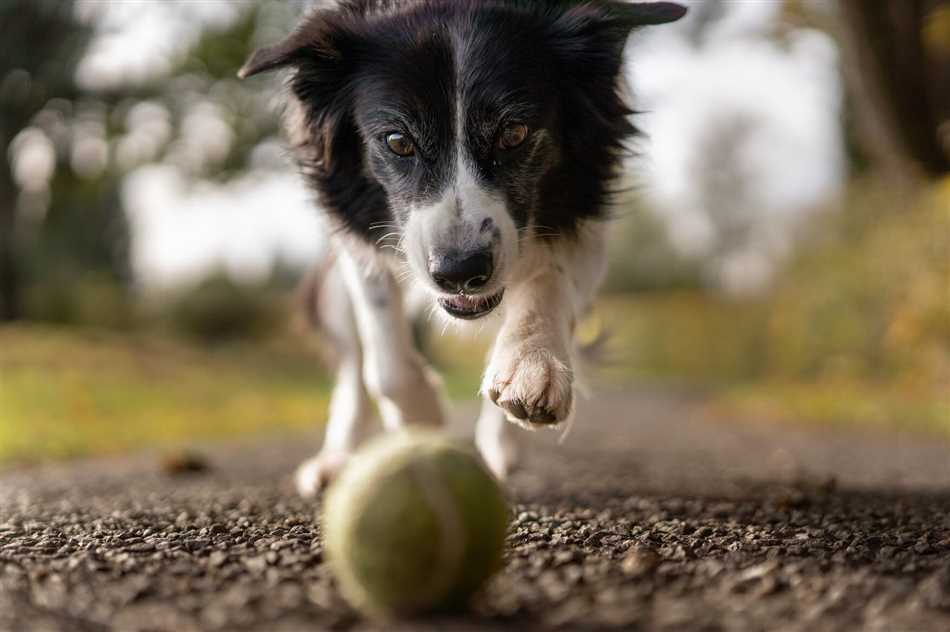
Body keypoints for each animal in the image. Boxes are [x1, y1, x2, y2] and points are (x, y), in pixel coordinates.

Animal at [237, 0, 684, 494]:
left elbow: (548, 281)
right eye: (398, 141)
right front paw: (423, 419)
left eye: (514, 133)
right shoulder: (355, 229)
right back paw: (336, 460)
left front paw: (531, 366)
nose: (459, 272)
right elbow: (384, 359)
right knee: (353, 366)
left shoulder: (586, 207)